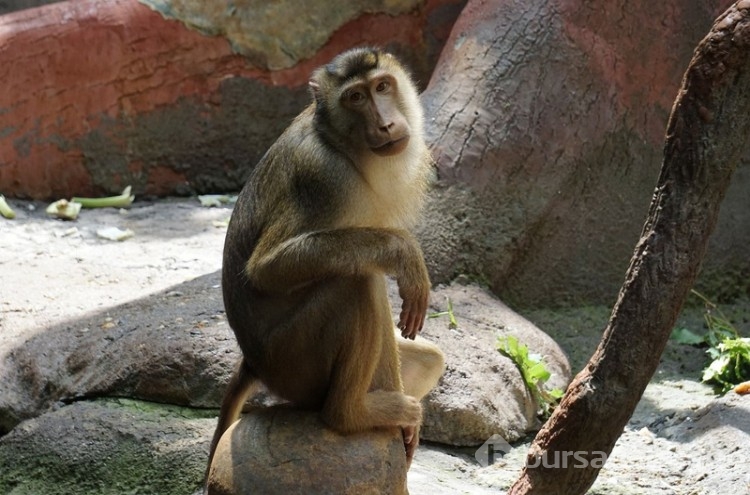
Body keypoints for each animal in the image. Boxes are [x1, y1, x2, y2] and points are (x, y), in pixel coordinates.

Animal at [206, 46, 446, 488]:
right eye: (355, 98)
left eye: (382, 87)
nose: (386, 123)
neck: (345, 147)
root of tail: (253, 361)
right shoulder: (323, 177)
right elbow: (267, 268)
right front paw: (403, 252)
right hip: (295, 362)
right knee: (356, 284)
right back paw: (351, 414)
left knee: (425, 356)